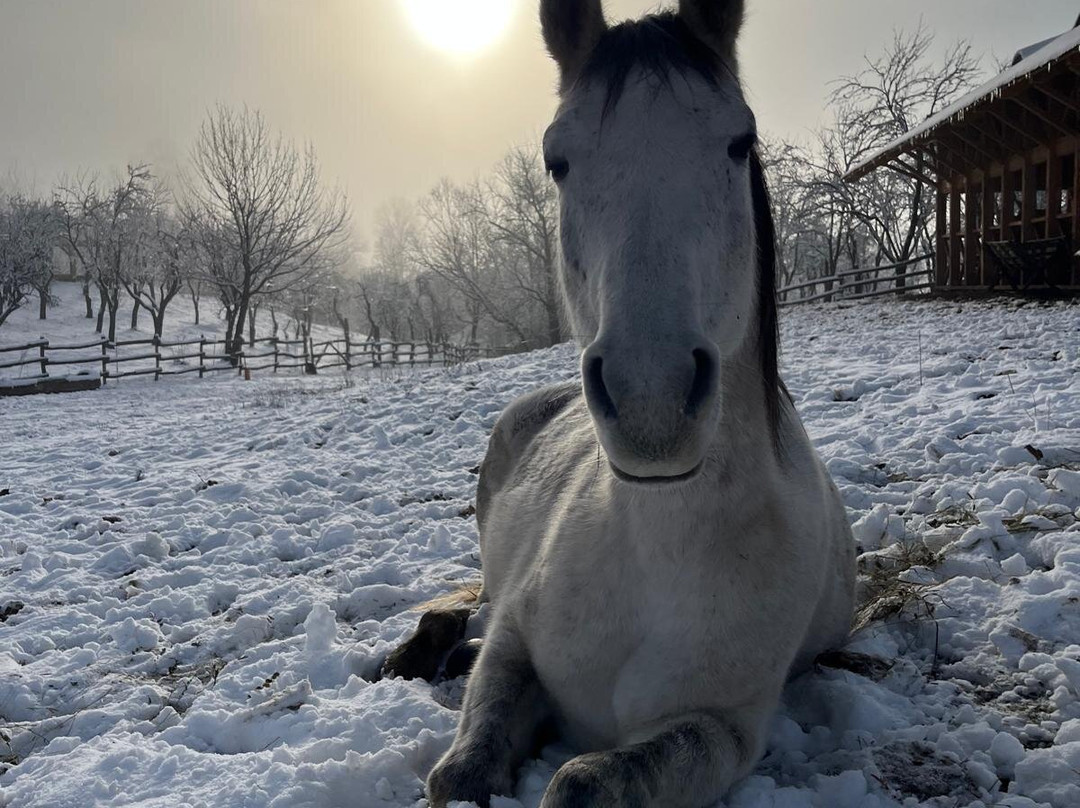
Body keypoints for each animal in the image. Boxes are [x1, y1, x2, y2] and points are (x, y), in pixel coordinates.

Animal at [399, 2, 856, 805]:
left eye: (740, 140)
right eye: (556, 159)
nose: (652, 401)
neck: (652, 550)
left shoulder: (723, 730)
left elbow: (582, 781)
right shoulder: (514, 643)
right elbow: (461, 768)